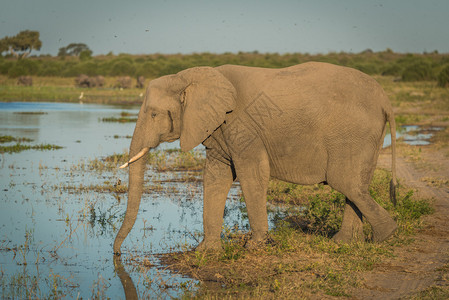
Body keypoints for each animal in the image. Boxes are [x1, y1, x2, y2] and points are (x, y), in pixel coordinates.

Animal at [114, 62, 398, 254]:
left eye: (153, 114)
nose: (116, 253)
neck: (191, 77)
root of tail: (385, 100)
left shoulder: (243, 125)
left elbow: (252, 173)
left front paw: (255, 246)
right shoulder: (220, 129)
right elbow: (216, 177)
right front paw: (205, 251)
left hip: (352, 135)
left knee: (346, 182)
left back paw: (384, 237)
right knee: (356, 184)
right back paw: (345, 242)